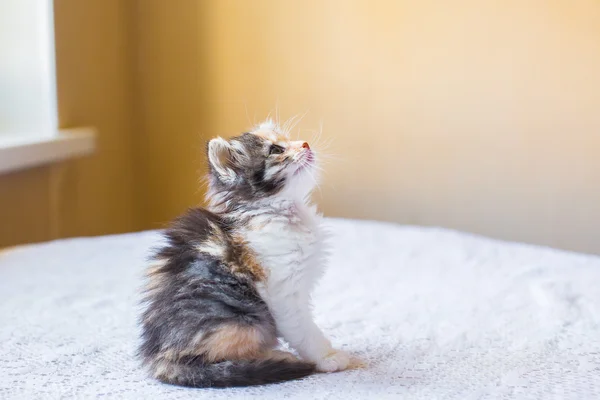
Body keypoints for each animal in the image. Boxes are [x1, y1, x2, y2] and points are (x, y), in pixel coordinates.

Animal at [138, 119, 350, 388]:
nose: (305, 143)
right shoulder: (283, 292)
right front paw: (327, 357)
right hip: (241, 320)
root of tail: (158, 357)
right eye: (276, 150)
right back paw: (276, 357)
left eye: (289, 140)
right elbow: (303, 330)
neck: (284, 213)